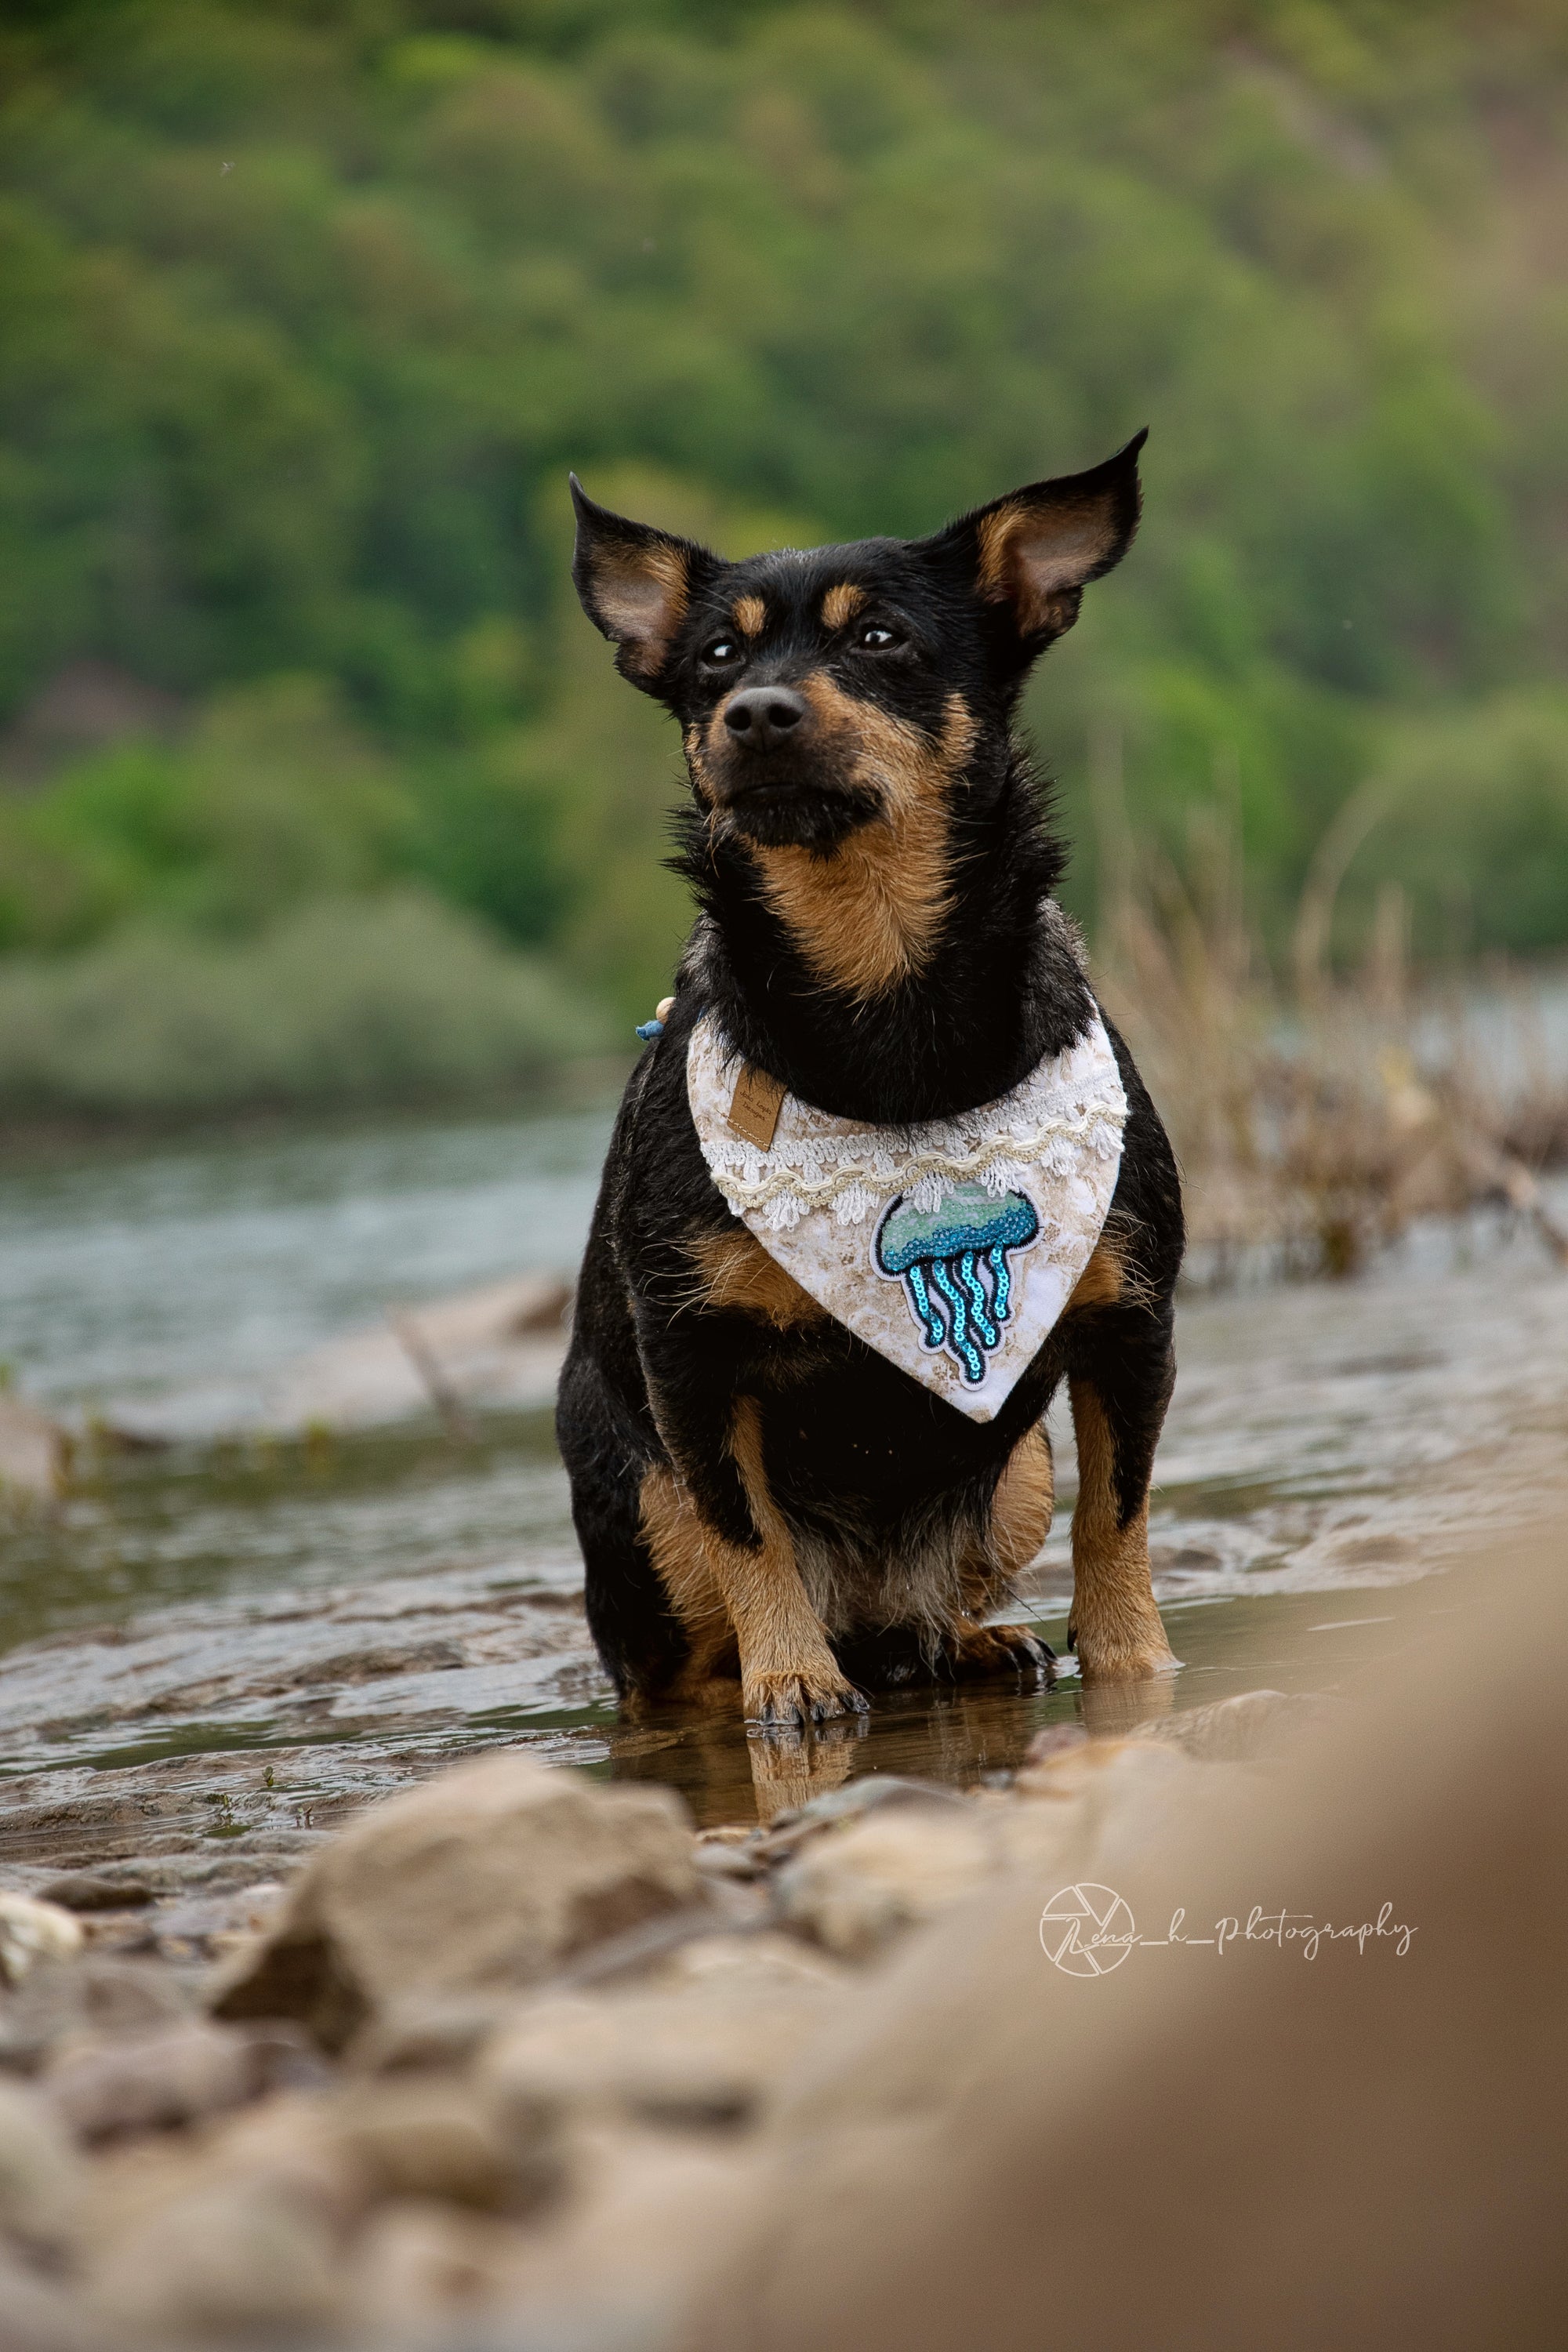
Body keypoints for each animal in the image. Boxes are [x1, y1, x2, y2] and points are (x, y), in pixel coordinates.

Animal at [557, 442, 1185, 1731]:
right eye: (717, 657)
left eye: (881, 639)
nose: (756, 712)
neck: (887, 1020)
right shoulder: (688, 1361)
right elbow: (748, 1536)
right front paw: (789, 1679)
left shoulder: (1131, 1321)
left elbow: (1121, 1516)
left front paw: (1136, 1664)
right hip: (640, 1505)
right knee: (676, 1663)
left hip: (1016, 1474)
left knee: (933, 1609)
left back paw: (968, 1640)